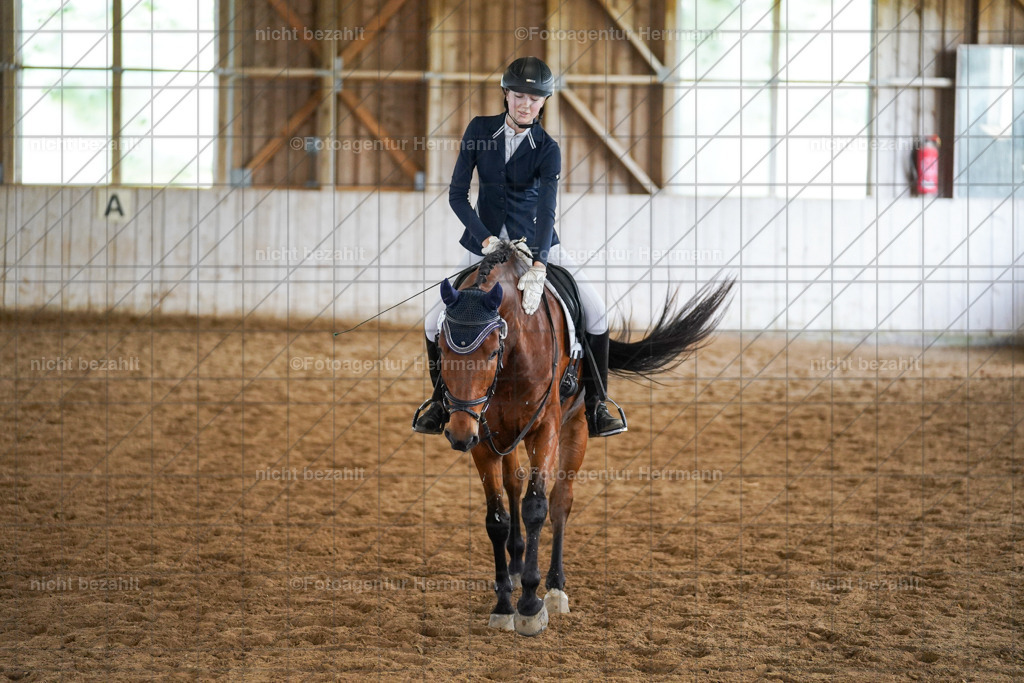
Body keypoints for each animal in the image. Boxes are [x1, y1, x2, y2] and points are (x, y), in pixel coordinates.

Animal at [430, 240, 732, 636]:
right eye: (442, 350)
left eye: (493, 351)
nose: (459, 434)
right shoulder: (485, 438)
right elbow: (496, 518)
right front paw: (503, 605)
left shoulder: (545, 428)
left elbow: (536, 507)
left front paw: (530, 606)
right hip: (505, 436)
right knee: (514, 484)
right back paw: (516, 565)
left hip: (574, 429)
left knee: (560, 501)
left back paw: (555, 588)